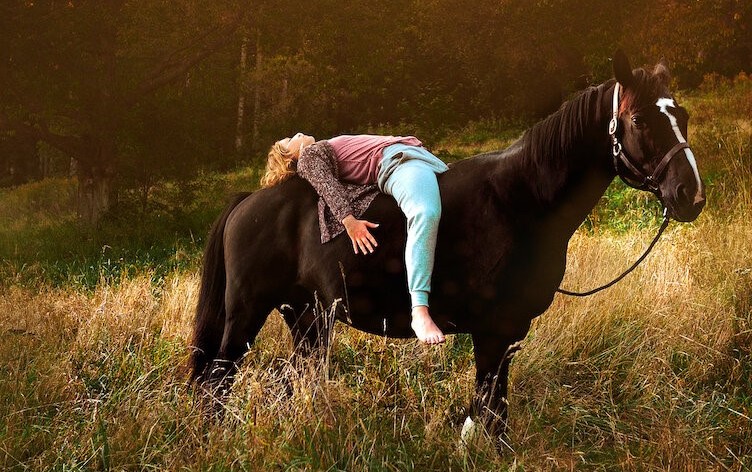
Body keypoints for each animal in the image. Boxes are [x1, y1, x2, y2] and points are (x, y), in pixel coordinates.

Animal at [187, 51, 704, 442]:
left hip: (308, 317)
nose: (690, 195)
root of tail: (247, 202)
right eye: (639, 119)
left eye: (681, 115)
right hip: (246, 315)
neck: (519, 200)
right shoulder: (494, 334)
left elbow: (492, 413)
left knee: (297, 380)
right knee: (217, 382)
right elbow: (491, 413)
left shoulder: (509, 337)